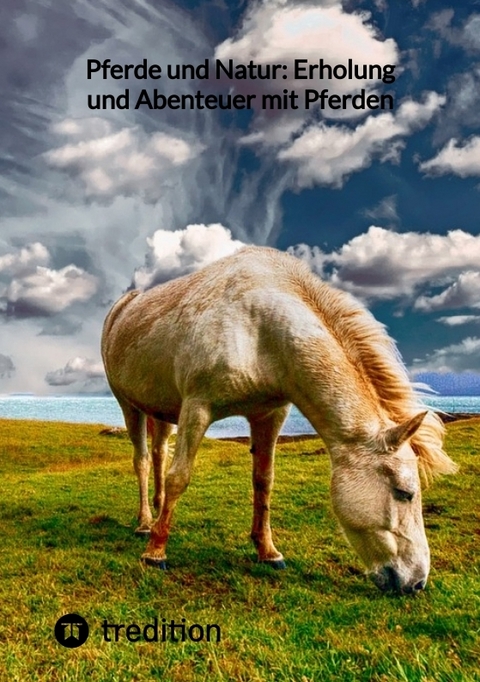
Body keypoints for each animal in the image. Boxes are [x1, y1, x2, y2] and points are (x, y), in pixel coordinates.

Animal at [101, 246, 456, 593]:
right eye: (404, 493)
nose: (417, 582)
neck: (260, 328)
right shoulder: (197, 408)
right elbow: (180, 477)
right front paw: (155, 552)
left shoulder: (269, 415)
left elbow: (264, 482)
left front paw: (267, 551)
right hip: (129, 405)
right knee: (143, 461)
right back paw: (146, 523)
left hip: (162, 411)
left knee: (159, 454)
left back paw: (157, 511)